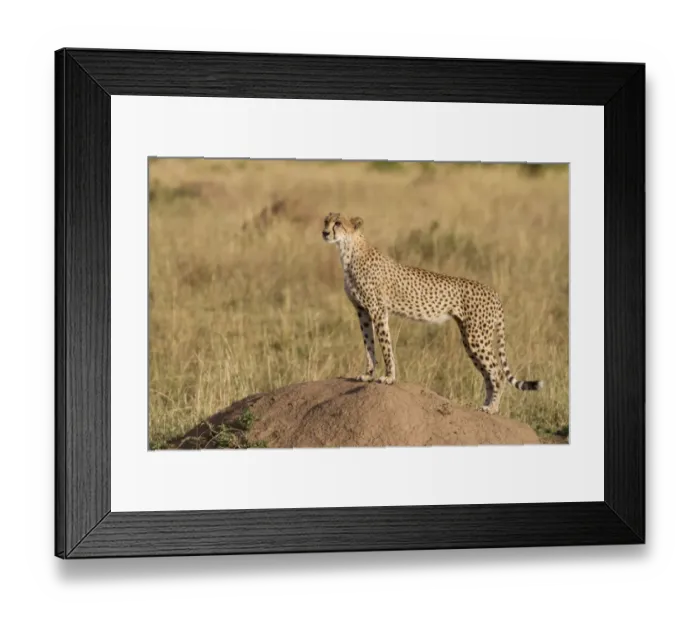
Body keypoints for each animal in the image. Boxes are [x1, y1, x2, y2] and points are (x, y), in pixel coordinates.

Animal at [322, 212, 543, 414]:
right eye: (326, 221)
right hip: (469, 339)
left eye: (338, 223)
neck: (349, 251)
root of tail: (494, 293)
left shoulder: (378, 311)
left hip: (477, 337)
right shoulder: (362, 312)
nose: (325, 232)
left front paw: (389, 377)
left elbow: (385, 346)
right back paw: (485, 406)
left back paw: (492, 408)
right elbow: (368, 345)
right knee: (488, 374)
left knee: (497, 373)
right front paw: (367, 375)